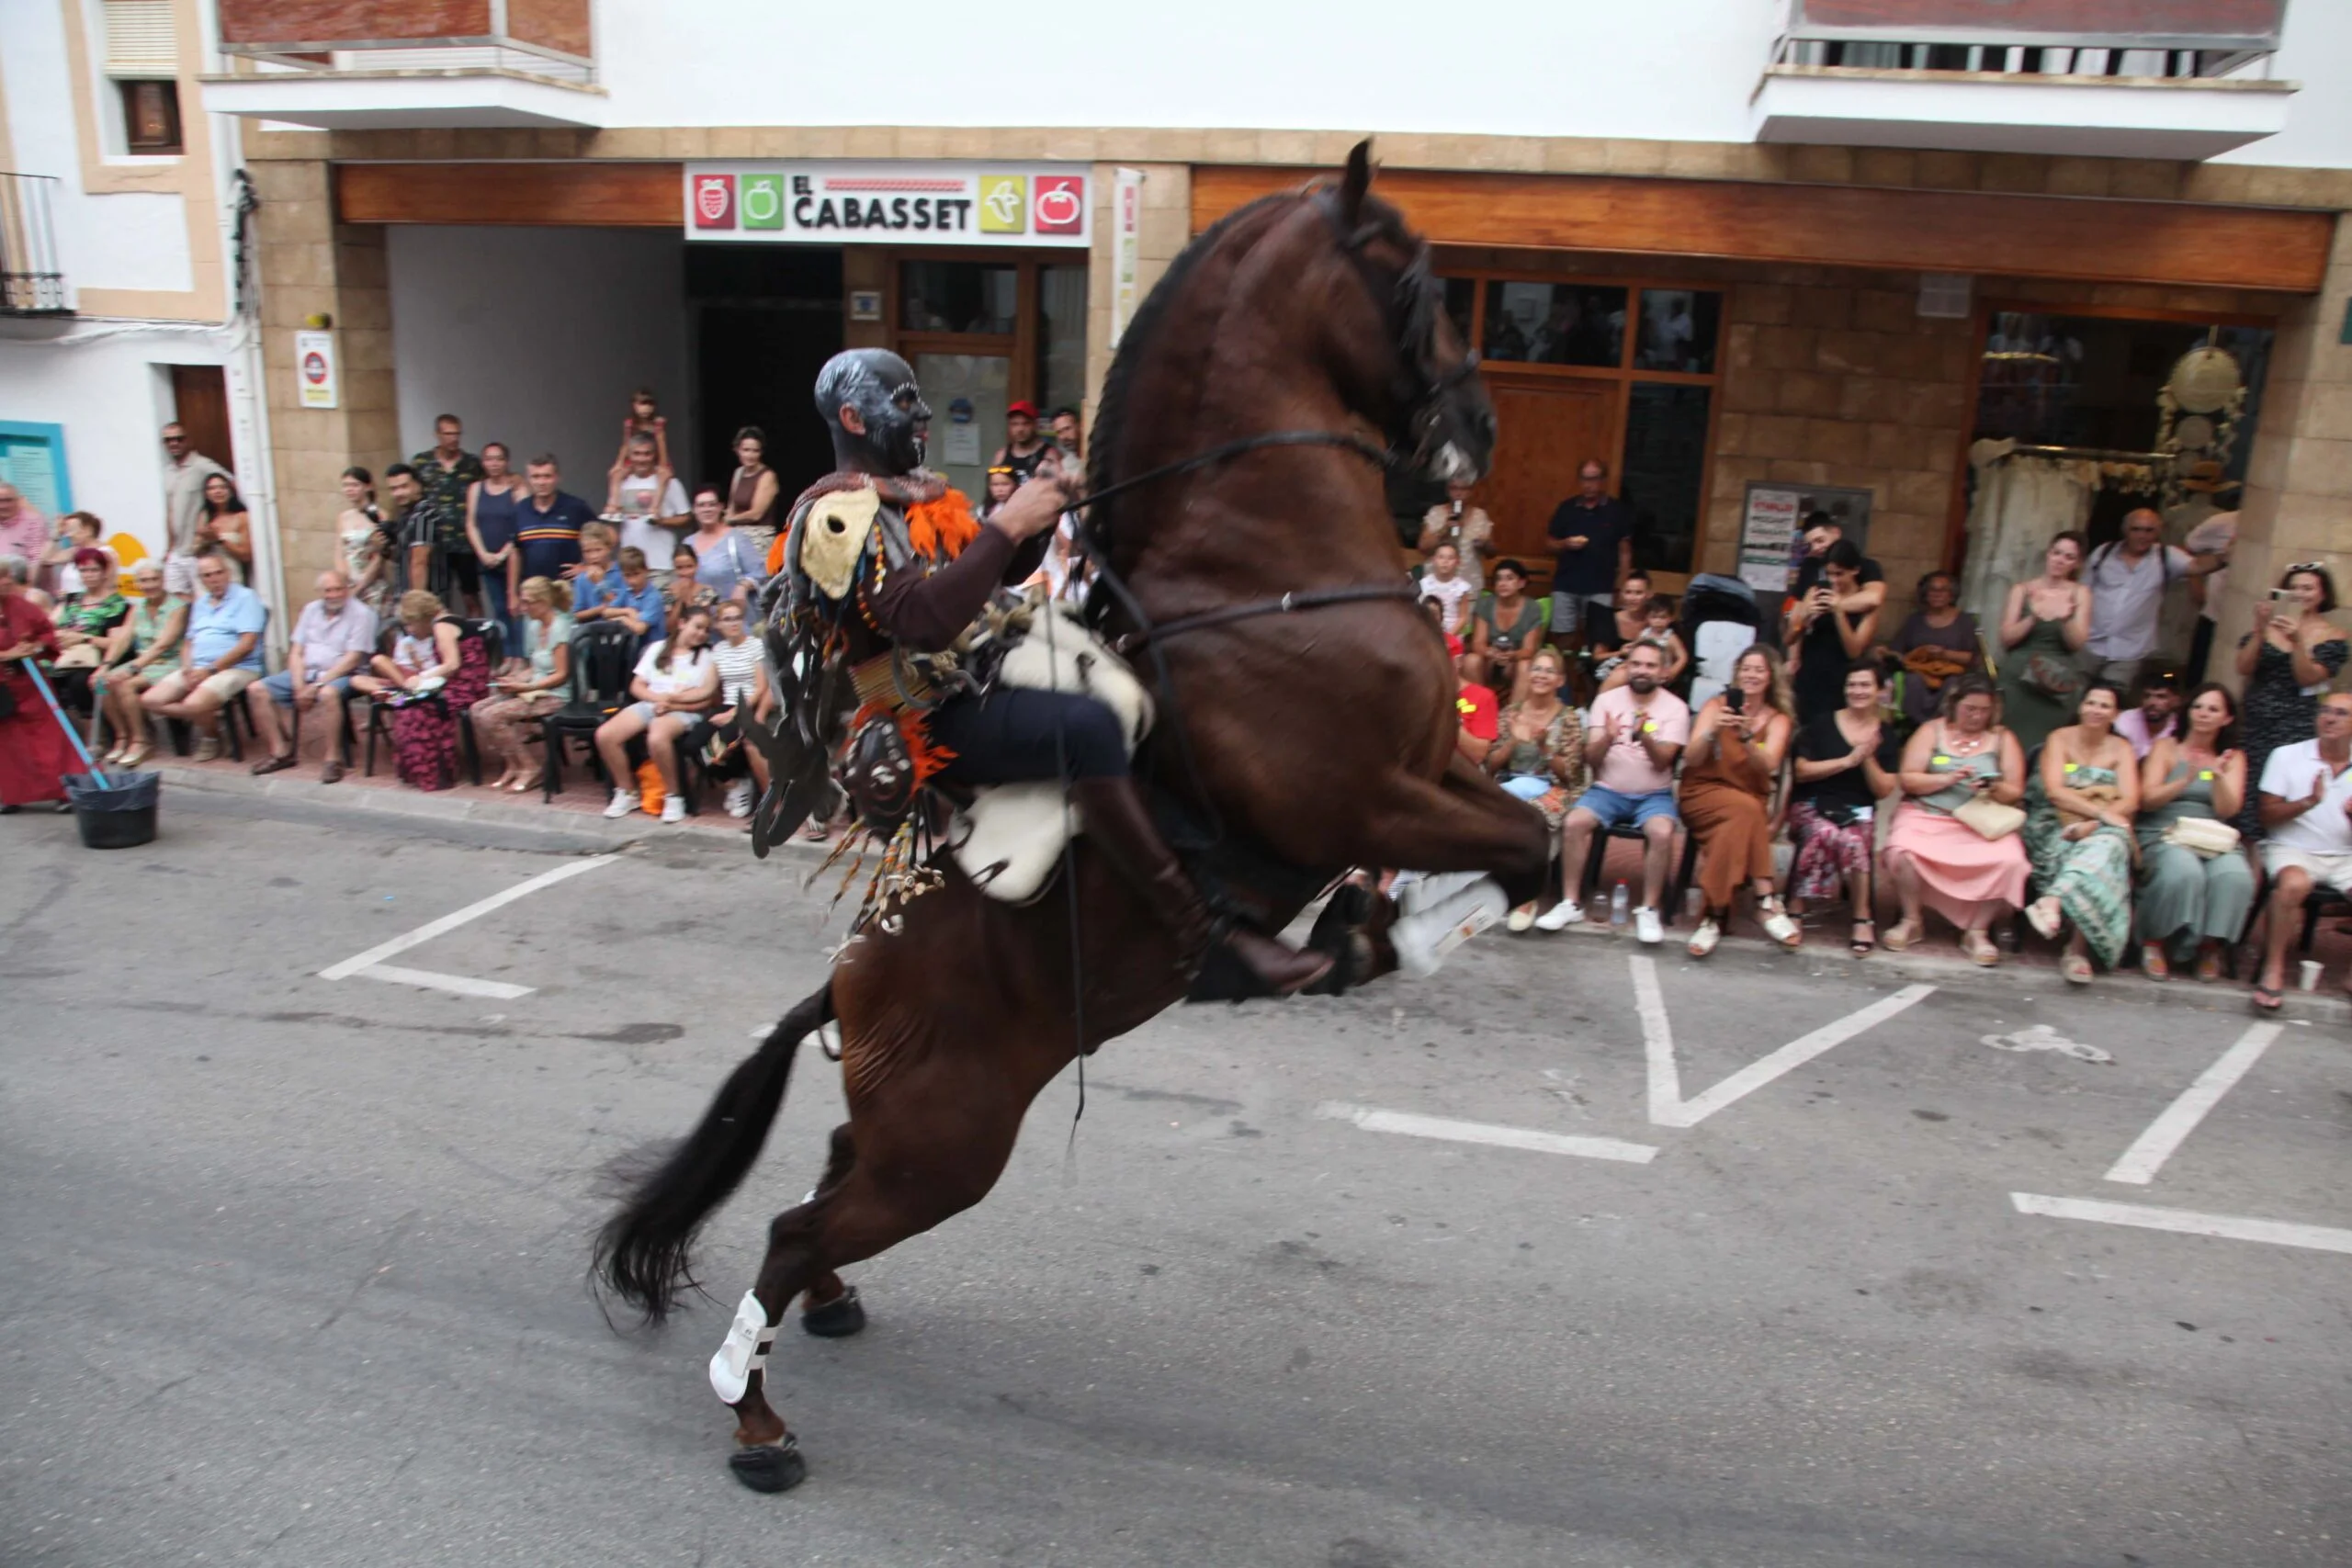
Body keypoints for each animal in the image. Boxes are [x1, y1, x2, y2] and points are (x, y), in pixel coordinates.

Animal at [606, 146, 1552, 1495]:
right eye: (1417, 277)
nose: (1476, 430)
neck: (1259, 572)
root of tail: (847, 985)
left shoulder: (1431, 771)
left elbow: (1537, 839)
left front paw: (1382, 925)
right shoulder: (1373, 792)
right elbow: (1524, 849)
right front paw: (1375, 934)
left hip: (910, 1140)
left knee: (821, 1195)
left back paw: (825, 1313)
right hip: (946, 1148)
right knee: (792, 1227)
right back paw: (757, 1420)